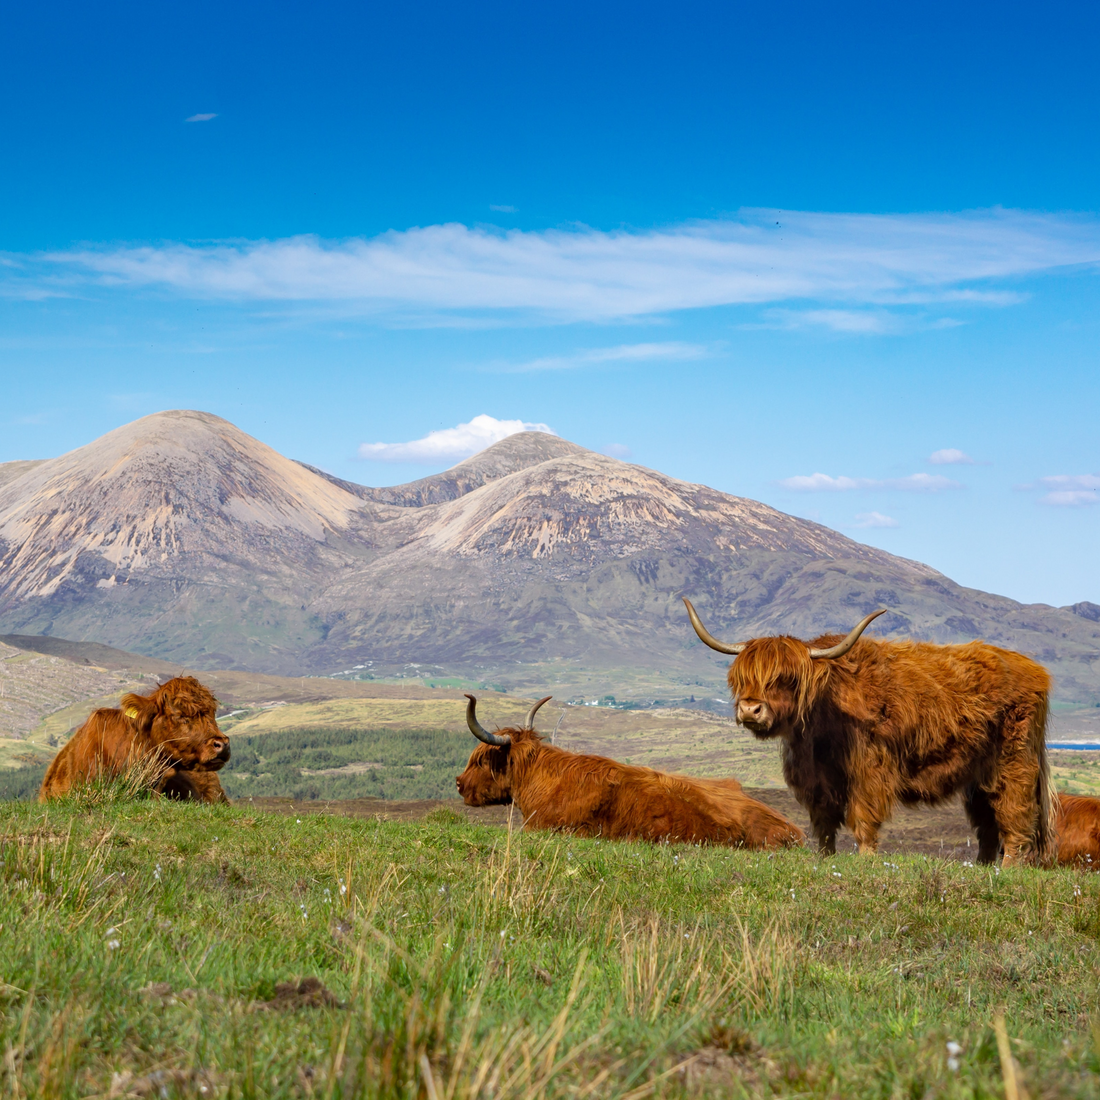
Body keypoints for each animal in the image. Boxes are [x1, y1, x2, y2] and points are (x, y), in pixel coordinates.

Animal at [683, 600, 1056, 866]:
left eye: (785, 678)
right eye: (742, 678)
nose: (750, 709)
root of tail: (1034, 669)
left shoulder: (869, 773)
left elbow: (863, 819)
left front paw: (866, 859)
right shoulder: (816, 780)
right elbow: (824, 825)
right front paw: (825, 859)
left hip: (1015, 762)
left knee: (1015, 815)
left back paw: (1008, 869)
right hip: (978, 775)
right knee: (987, 823)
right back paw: (981, 867)